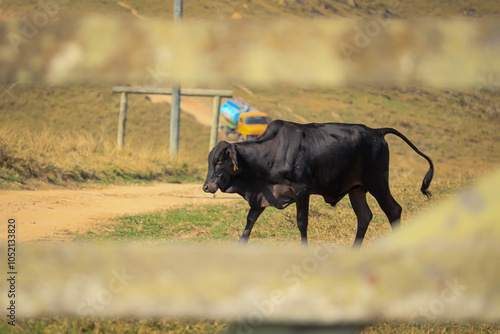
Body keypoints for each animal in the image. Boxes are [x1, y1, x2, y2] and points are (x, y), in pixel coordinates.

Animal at [203, 120, 434, 245]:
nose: (206, 187)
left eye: (219, 160)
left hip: (377, 182)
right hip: (357, 189)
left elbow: (302, 222)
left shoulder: (301, 189)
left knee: (393, 210)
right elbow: (249, 222)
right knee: (364, 217)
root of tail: (377, 131)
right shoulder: (263, 195)